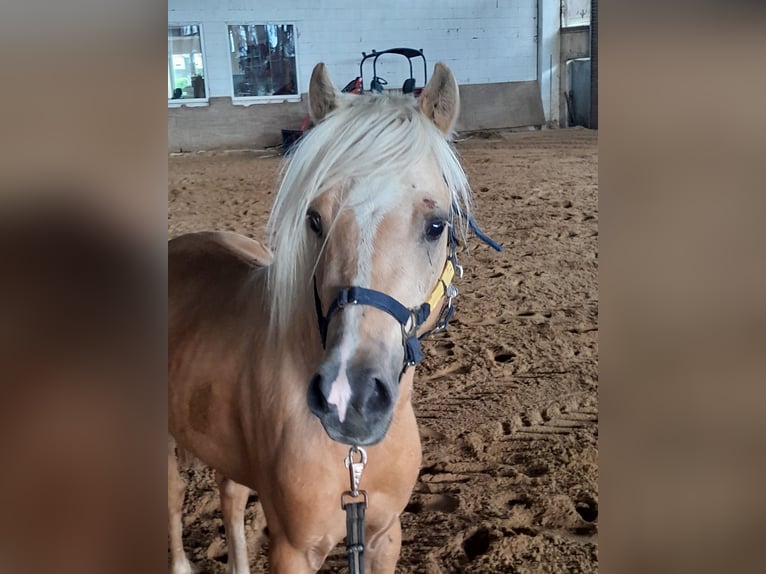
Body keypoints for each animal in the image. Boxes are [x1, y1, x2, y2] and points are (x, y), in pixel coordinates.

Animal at [168, 61, 476, 573]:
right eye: (314, 219)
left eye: (437, 226)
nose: (349, 398)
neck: (354, 456)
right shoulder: (293, 550)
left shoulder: (383, 536)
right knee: (173, 501)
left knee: (229, 496)